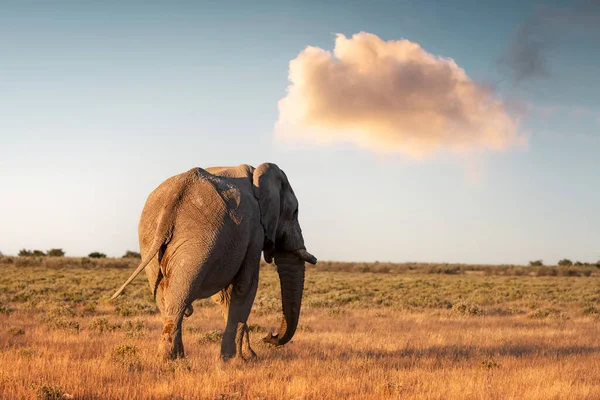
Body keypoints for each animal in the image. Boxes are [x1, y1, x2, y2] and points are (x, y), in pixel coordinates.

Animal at [113, 161, 318, 360]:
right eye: (294, 212)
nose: (268, 336)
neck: (256, 173)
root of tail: (175, 195)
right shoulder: (255, 230)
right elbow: (245, 287)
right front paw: (236, 360)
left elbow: (225, 296)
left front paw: (242, 357)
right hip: (198, 239)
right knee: (179, 298)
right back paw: (170, 361)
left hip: (151, 239)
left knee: (165, 298)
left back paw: (178, 358)